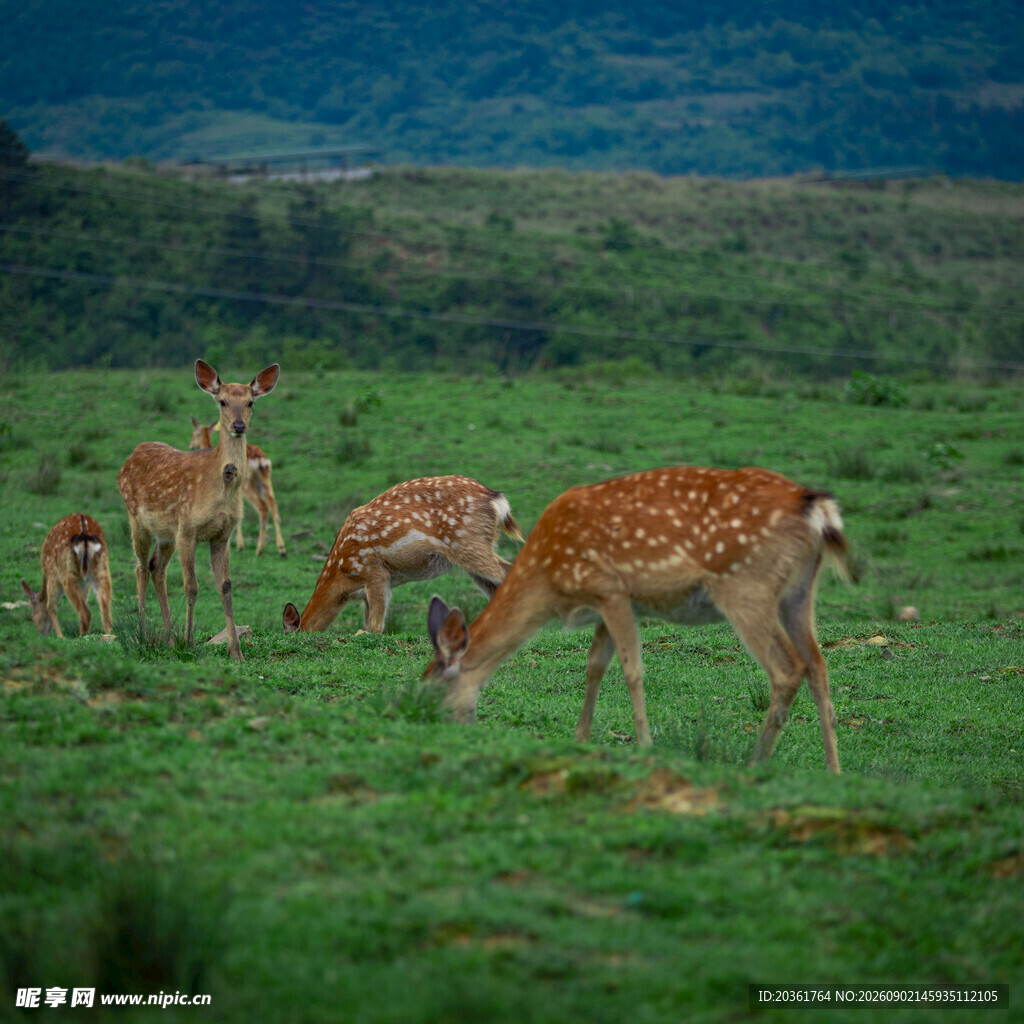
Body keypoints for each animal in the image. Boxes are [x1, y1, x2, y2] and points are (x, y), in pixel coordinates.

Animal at [189, 416, 286, 557]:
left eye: (194, 434)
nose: (190, 445)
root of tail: (260, 460)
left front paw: (238, 545)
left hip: (247, 484)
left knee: (262, 506)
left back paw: (259, 549)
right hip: (265, 480)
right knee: (273, 504)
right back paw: (281, 549)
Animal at [282, 475, 524, 634]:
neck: (343, 575)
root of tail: (498, 500)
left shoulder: (374, 571)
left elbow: (375, 627)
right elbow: (368, 622)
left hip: (468, 543)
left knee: (508, 572)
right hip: (474, 552)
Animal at [424, 466, 853, 773]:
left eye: (429, 688)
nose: (429, 726)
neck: (550, 579)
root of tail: (816, 508)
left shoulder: (610, 588)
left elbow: (632, 670)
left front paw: (645, 745)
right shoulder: (606, 602)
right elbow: (595, 666)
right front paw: (581, 739)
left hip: (745, 585)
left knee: (787, 667)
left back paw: (755, 762)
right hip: (799, 591)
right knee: (818, 664)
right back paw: (834, 771)